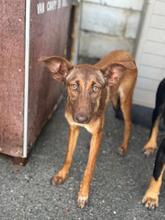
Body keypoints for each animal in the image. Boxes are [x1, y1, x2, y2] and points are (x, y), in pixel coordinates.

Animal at [39, 49, 137, 208]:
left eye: (95, 88)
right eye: (74, 86)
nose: (82, 119)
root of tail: (127, 53)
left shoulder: (96, 132)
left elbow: (89, 168)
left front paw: (83, 193)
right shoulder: (73, 128)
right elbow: (68, 156)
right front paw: (62, 174)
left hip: (125, 99)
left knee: (128, 123)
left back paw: (123, 147)